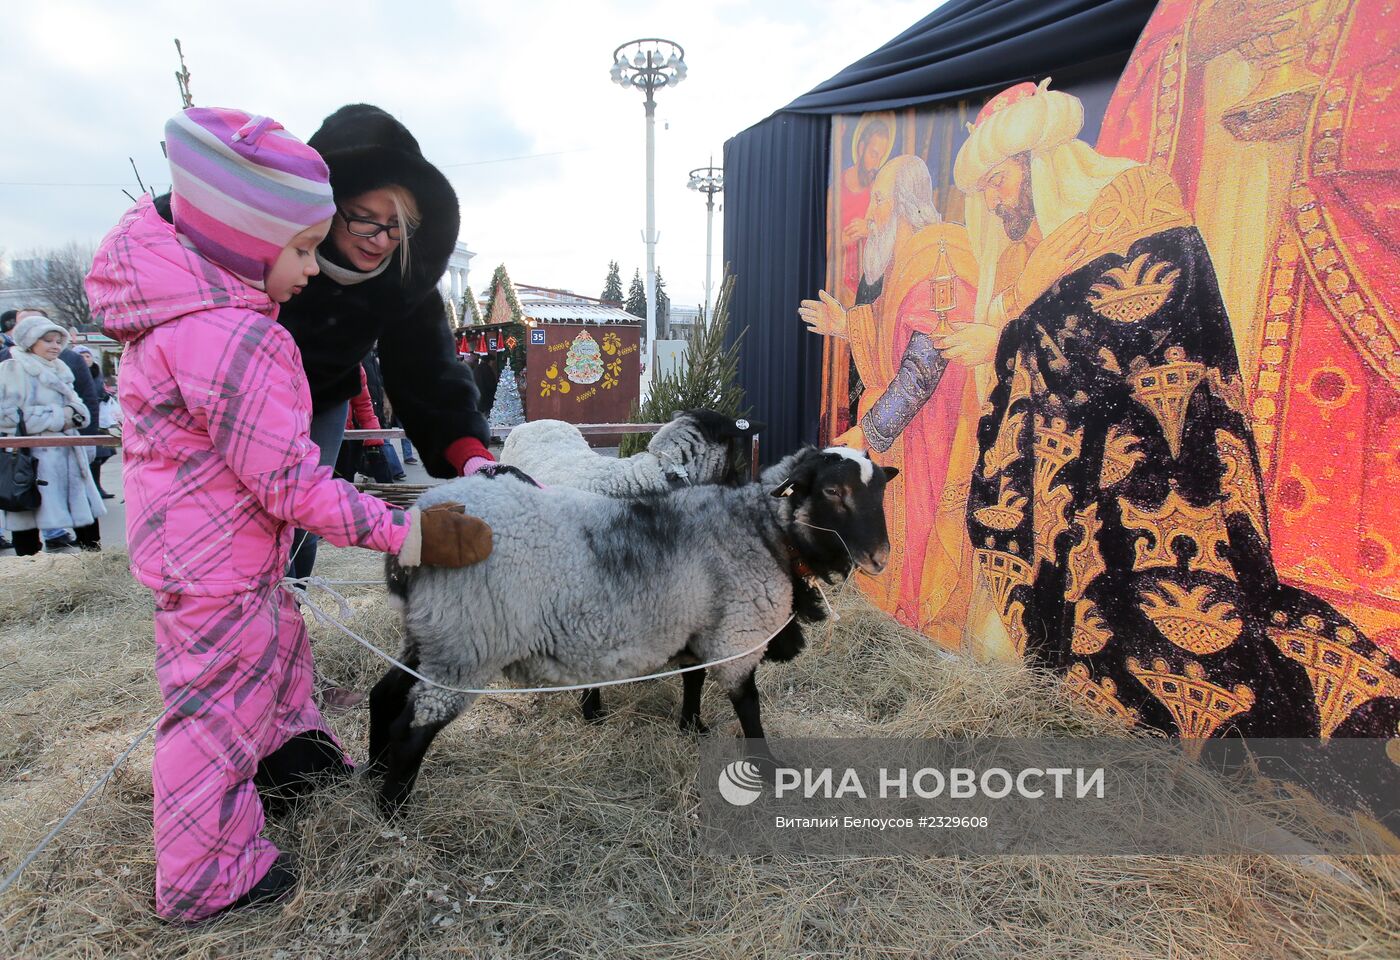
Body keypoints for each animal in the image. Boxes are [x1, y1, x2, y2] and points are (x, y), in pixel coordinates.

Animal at [369, 447, 896, 817]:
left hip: (431, 634)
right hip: (467, 646)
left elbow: (692, 678)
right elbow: (749, 705)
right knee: (412, 728)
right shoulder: (737, 634)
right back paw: (394, 812)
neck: (764, 530)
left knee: (384, 694)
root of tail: (417, 527)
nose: (880, 559)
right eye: (832, 492)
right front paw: (768, 770)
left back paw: (372, 775)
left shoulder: (696, 626)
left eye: (880, 494)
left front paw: (691, 726)